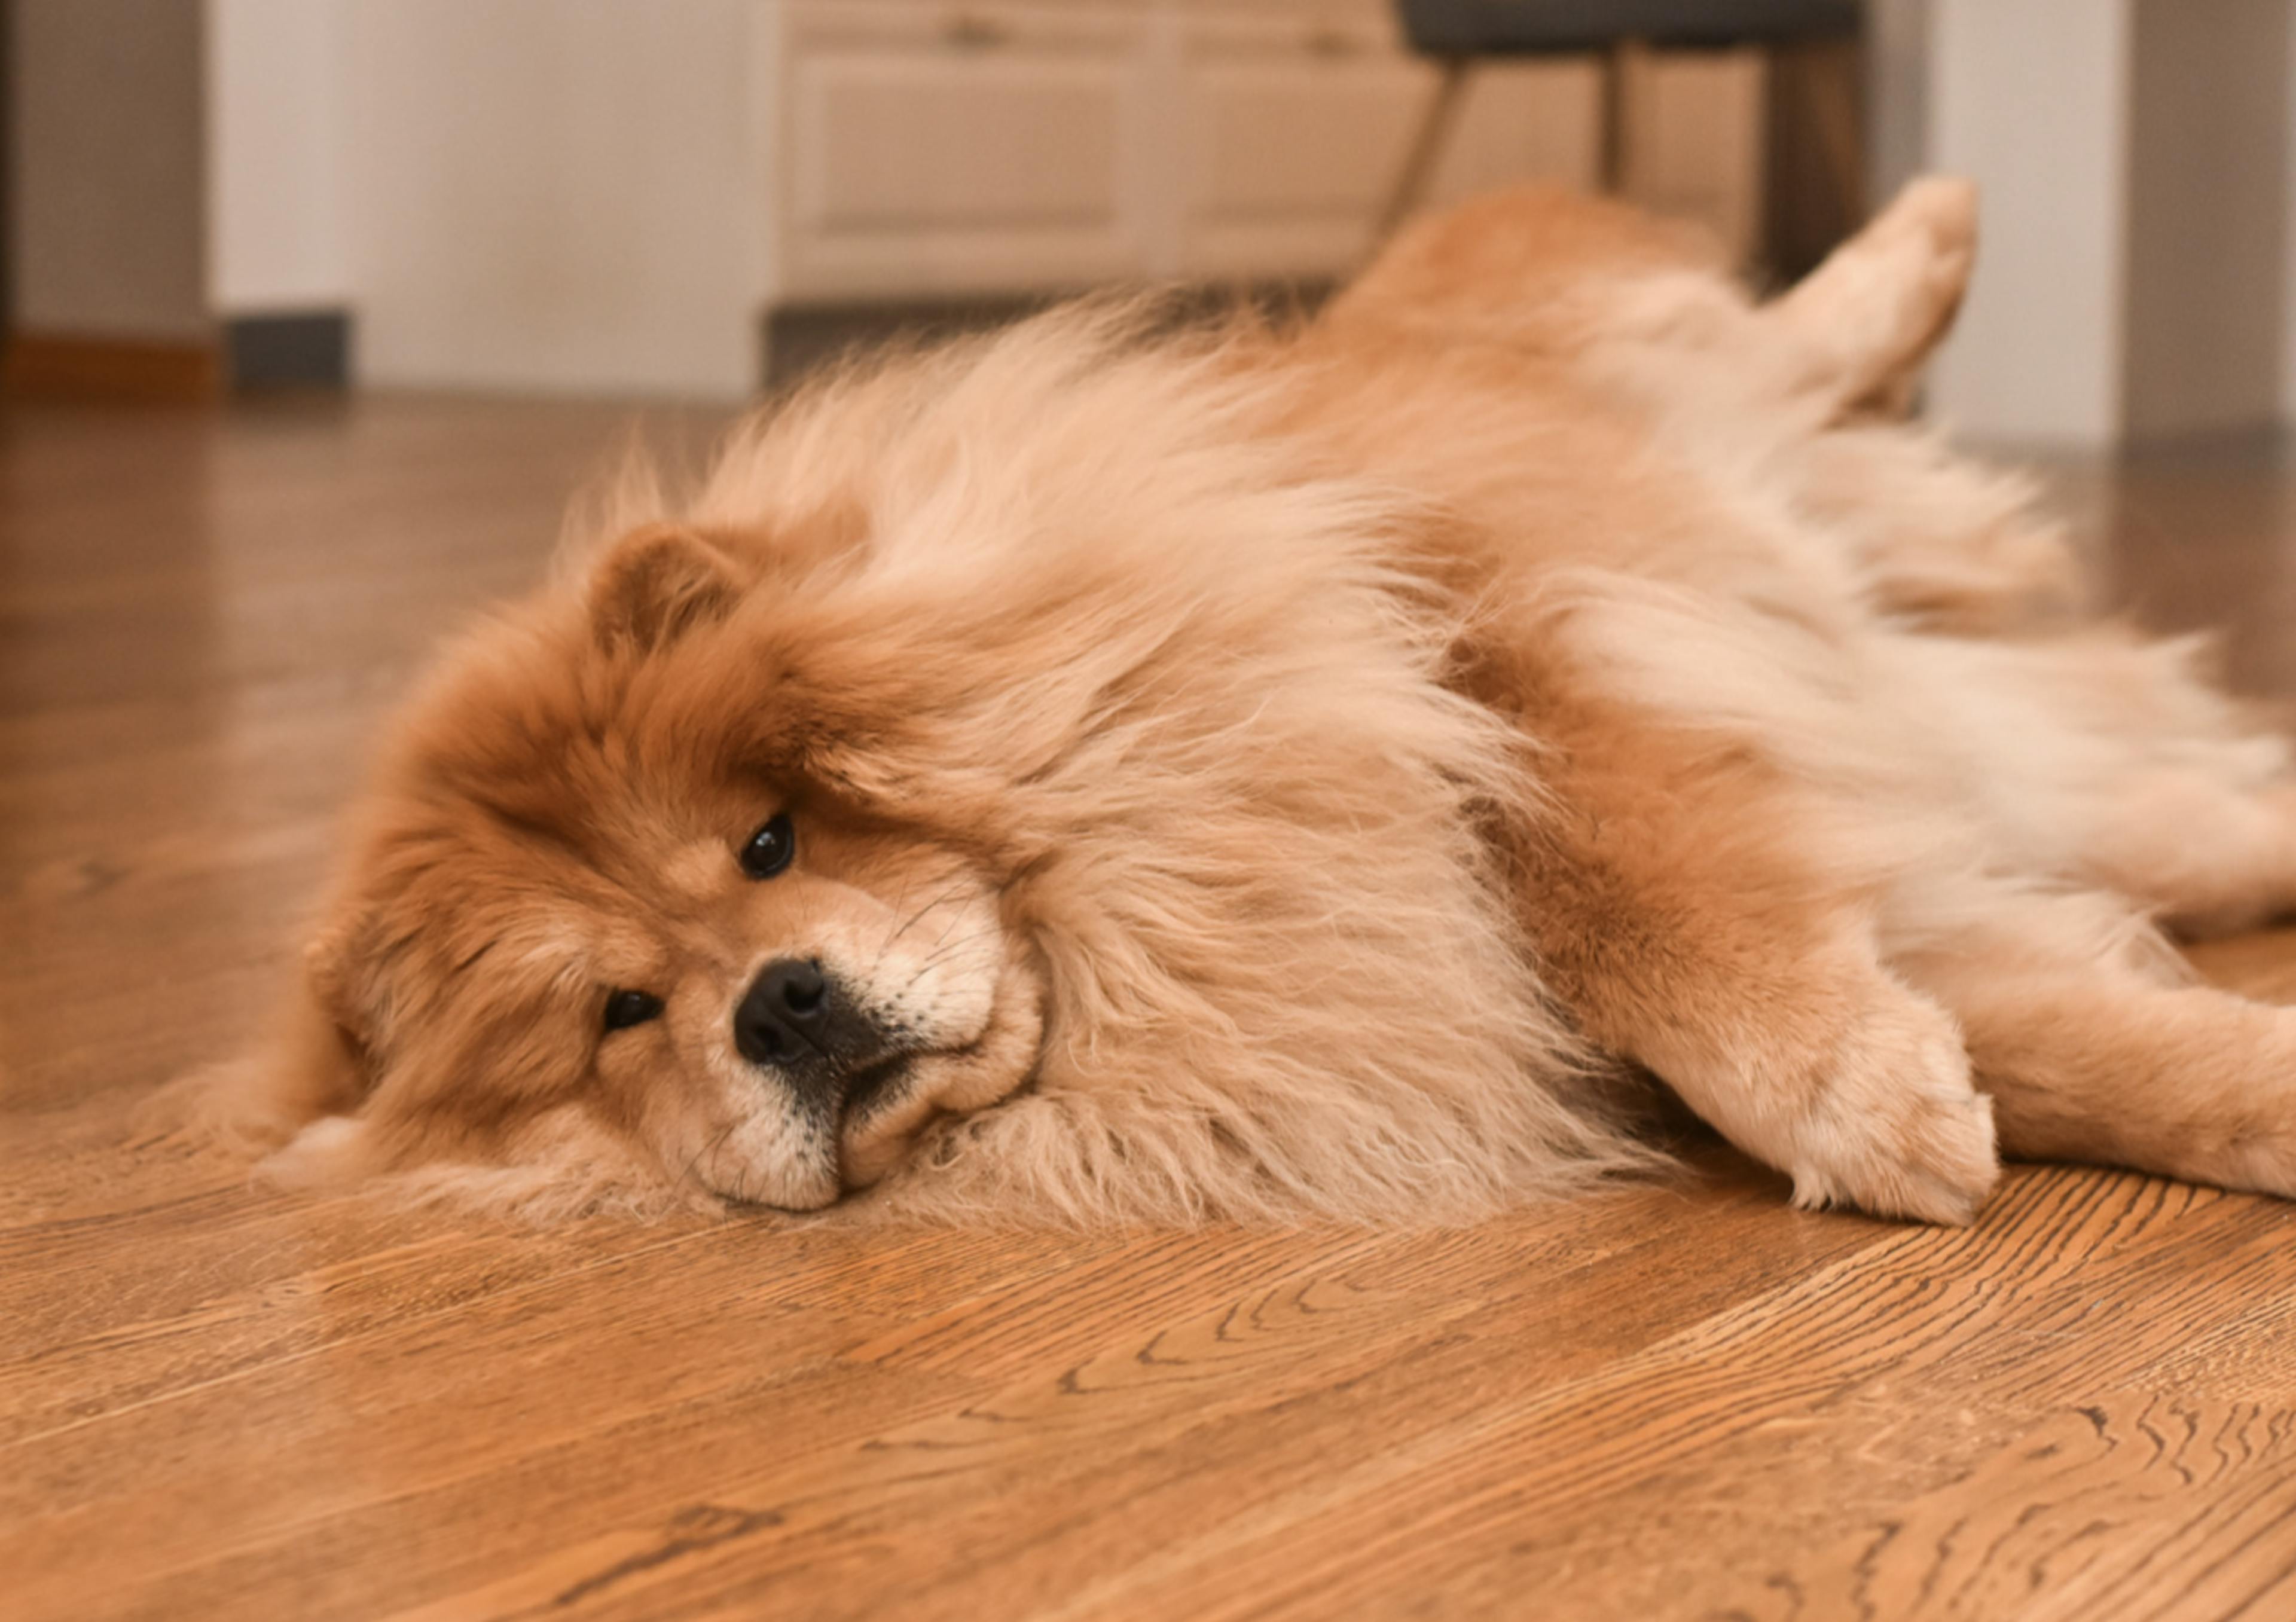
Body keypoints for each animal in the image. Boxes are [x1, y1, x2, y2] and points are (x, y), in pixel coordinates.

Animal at [193, 178, 2296, 1220]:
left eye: (772, 840)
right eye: (623, 1017)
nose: (776, 1004)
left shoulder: (1503, 641)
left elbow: (1644, 912)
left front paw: (1853, 1095)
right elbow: (2082, 1051)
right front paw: (2187, 1100)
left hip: (1565, 375)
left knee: (1758, 342)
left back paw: (1927, 227)